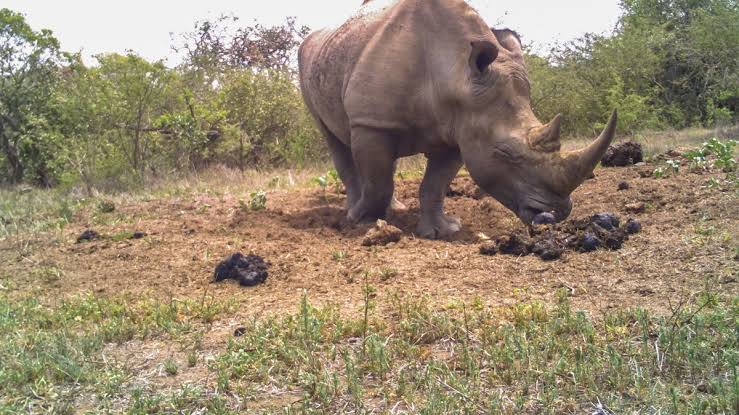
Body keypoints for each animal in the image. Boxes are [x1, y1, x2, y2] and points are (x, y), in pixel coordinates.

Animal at [298, 0, 617, 239]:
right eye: (505, 153)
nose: (556, 213)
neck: (454, 72)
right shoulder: (371, 123)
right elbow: (378, 181)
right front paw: (364, 224)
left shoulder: (462, 127)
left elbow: (435, 184)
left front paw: (444, 231)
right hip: (309, 62)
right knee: (333, 139)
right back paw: (356, 211)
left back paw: (395, 209)